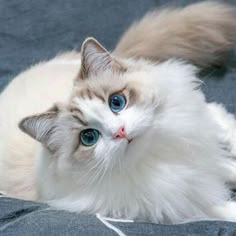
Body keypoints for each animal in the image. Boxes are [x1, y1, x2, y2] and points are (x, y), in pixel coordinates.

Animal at [0, 1, 236, 223]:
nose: (120, 131)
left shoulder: (196, 155)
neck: (154, 157)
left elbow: (227, 167)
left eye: (116, 102)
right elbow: (221, 206)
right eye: (88, 137)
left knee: (212, 112)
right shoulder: (183, 199)